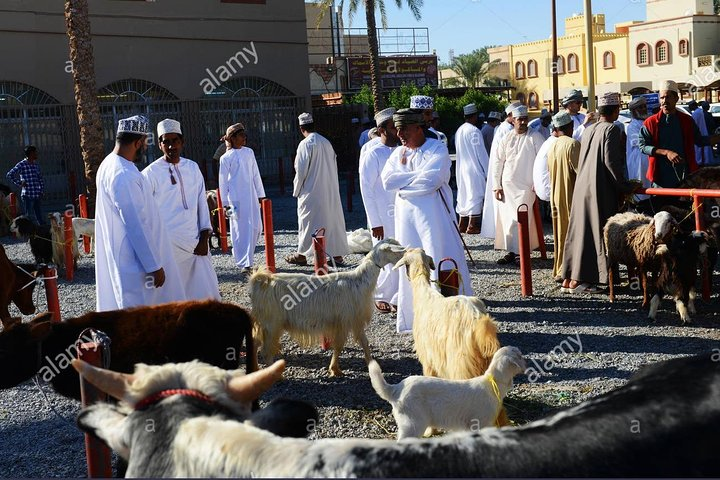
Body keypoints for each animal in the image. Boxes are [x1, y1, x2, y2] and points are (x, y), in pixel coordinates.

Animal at [248, 238, 404, 376]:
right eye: (397, 251)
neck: (359, 281)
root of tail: (262, 281)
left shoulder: (349, 321)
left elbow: (358, 343)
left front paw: (366, 365)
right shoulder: (347, 320)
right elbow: (345, 345)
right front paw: (337, 369)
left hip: (265, 322)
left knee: (255, 342)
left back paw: (255, 369)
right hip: (271, 322)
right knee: (265, 350)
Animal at [368, 346, 524, 440]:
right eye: (520, 356)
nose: (527, 363)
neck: (492, 383)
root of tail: (396, 389)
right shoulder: (481, 422)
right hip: (413, 424)